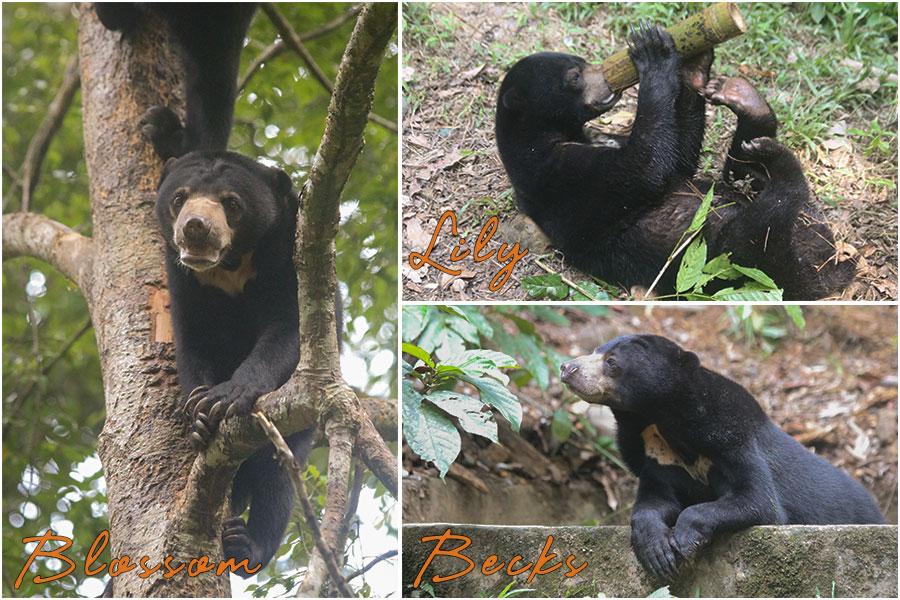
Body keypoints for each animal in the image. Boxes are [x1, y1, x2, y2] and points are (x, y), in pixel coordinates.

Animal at [496, 23, 856, 300]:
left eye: (583, 62)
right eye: (574, 76)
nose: (608, 80)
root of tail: (831, 264)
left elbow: (677, 161)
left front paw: (695, 64)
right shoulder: (560, 176)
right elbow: (644, 168)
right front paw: (652, 52)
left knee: (742, 172)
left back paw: (744, 99)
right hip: (743, 261)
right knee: (762, 223)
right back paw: (778, 161)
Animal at [560, 336, 884, 580]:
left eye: (612, 362)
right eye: (595, 350)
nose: (567, 367)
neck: (660, 420)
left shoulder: (731, 439)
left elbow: (759, 500)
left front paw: (684, 540)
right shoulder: (656, 458)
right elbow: (654, 503)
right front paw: (658, 553)